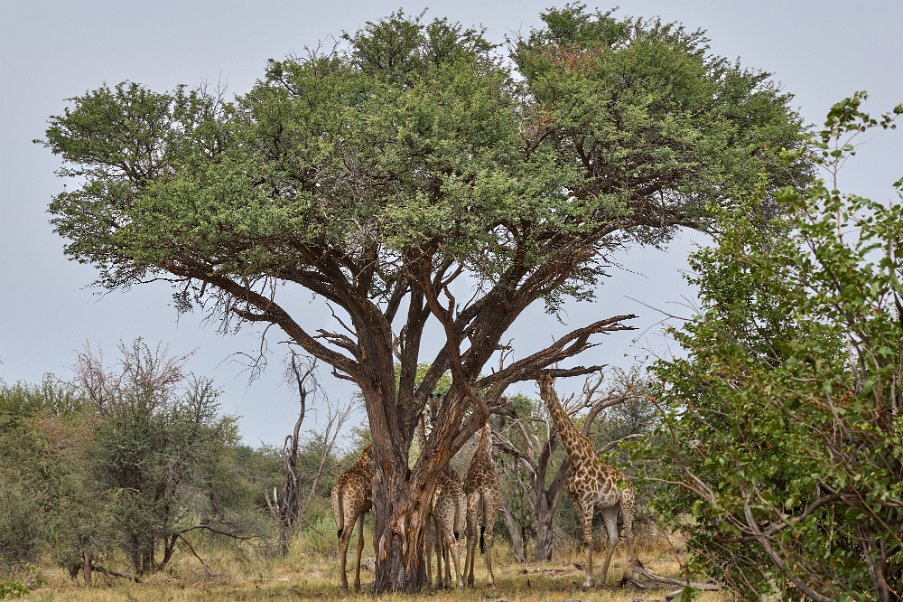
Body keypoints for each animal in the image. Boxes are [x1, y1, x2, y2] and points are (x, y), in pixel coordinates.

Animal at [330, 442, 372, 588]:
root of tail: (341, 486)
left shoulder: (362, 511)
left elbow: (360, 542)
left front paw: (357, 584)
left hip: (338, 511)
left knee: (340, 539)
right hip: (351, 511)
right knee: (344, 538)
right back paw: (344, 584)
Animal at [540, 370, 640, 584]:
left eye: (551, 382)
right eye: (539, 383)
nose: (544, 394)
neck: (576, 459)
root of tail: (631, 483)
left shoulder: (587, 500)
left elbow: (588, 539)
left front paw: (587, 580)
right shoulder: (576, 500)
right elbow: (586, 539)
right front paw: (591, 578)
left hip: (627, 501)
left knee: (629, 533)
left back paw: (635, 575)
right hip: (609, 508)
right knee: (614, 537)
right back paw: (602, 579)